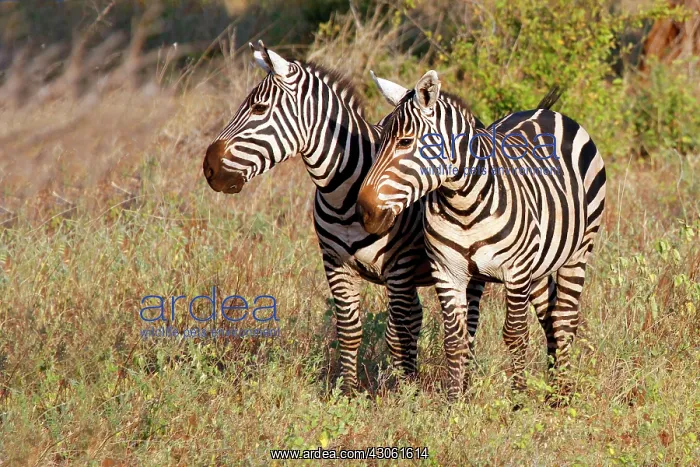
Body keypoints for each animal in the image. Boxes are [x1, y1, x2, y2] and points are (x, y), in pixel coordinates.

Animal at [203, 42, 562, 395]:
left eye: (259, 108)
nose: (209, 168)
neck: (343, 192)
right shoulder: (335, 263)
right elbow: (349, 330)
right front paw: (349, 392)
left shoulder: (400, 268)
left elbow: (398, 332)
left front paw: (404, 392)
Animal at [357, 70, 606, 402]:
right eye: (379, 139)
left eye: (405, 141)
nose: (364, 210)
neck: (463, 203)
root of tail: (546, 111)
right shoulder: (447, 272)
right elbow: (454, 338)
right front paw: (454, 401)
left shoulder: (516, 271)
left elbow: (515, 334)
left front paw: (518, 400)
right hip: (537, 266)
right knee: (548, 316)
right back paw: (552, 385)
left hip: (578, 252)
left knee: (564, 318)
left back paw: (560, 396)